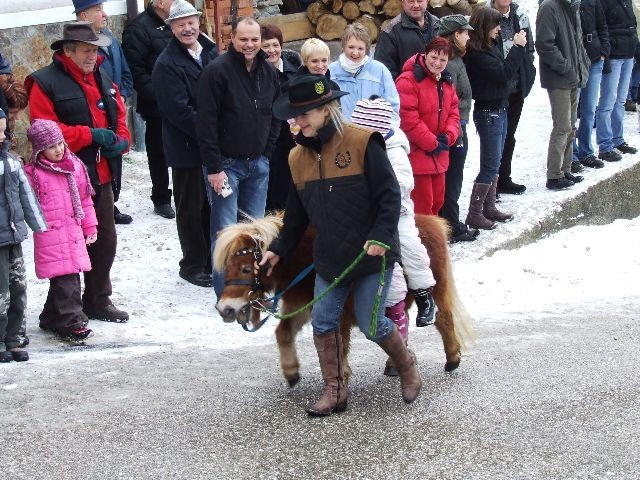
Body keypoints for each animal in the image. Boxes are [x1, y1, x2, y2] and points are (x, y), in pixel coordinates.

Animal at [212, 212, 472, 388]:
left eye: (246, 269)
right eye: (227, 268)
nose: (225, 309)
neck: (307, 262)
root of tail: (434, 223)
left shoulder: (339, 314)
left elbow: (340, 344)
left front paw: (341, 376)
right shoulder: (303, 307)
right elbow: (284, 333)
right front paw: (291, 372)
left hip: (436, 288)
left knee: (443, 318)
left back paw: (452, 358)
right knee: (398, 324)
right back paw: (395, 364)